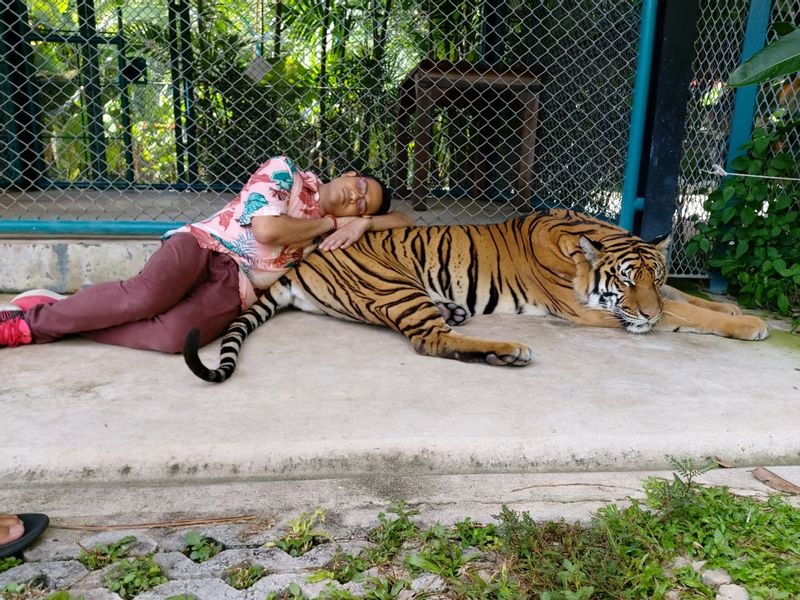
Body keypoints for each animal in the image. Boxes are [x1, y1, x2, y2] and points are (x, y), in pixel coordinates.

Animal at [181, 209, 768, 382]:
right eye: (624, 282)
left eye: (653, 274)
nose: (641, 307)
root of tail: (306, 260)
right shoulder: (591, 313)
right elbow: (676, 314)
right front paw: (749, 324)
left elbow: (684, 299)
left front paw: (730, 305)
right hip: (396, 285)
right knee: (429, 342)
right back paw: (507, 352)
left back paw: (459, 312)